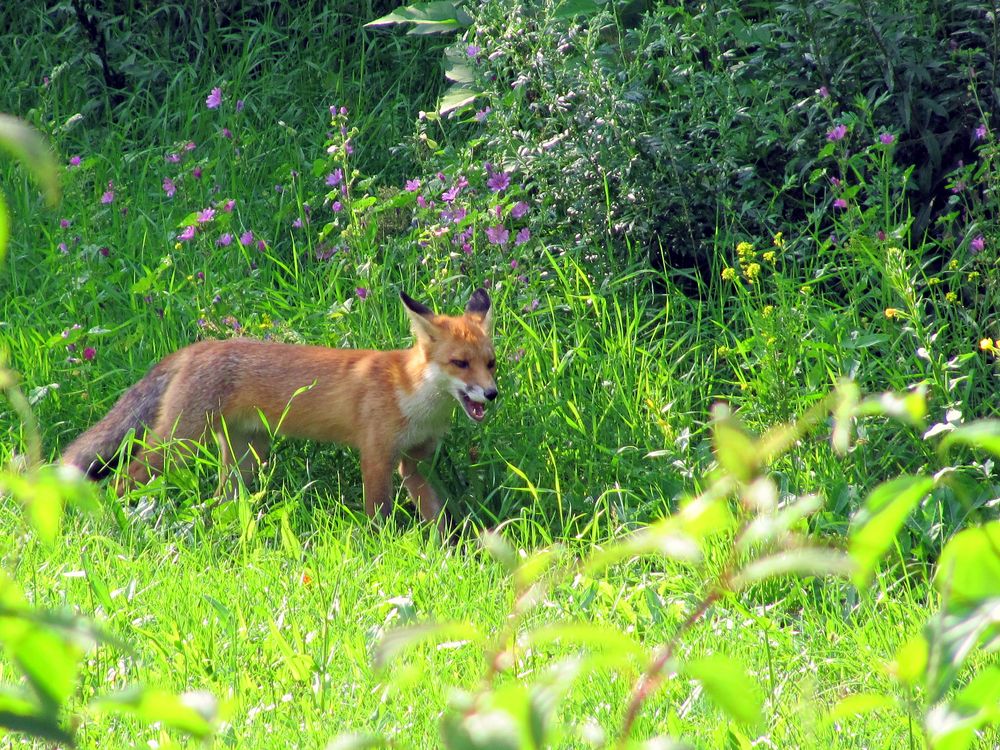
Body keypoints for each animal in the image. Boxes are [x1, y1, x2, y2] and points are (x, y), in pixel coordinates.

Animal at [62, 288, 500, 528]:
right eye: (460, 364)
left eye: (491, 363)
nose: (491, 394)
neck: (413, 398)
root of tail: (197, 347)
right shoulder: (376, 455)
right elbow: (379, 516)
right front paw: (384, 549)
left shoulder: (415, 464)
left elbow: (437, 517)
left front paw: (448, 554)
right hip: (179, 446)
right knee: (124, 479)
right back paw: (116, 522)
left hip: (245, 458)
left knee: (222, 500)